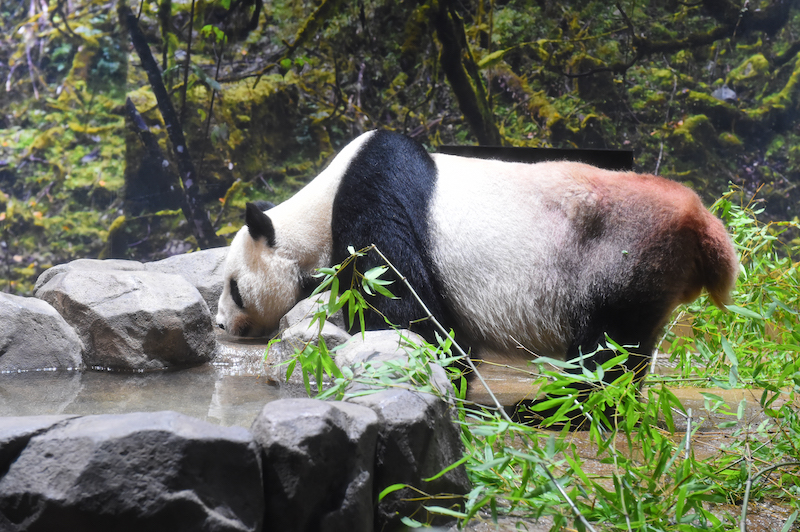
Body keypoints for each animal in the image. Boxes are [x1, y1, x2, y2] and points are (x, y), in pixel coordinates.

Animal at [217, 128, 736, 384]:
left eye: (234, 288)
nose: (222, 325)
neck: (314, 210)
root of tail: (702, 223)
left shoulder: (374, 195)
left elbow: (405, 304)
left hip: (619, 258)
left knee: (606, 348)